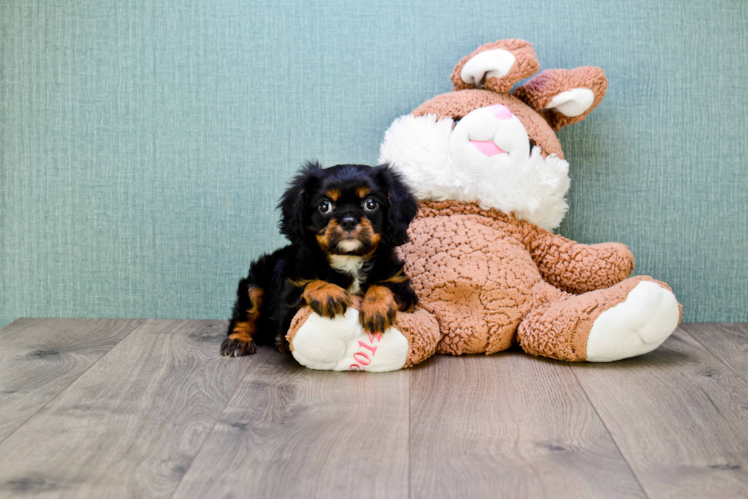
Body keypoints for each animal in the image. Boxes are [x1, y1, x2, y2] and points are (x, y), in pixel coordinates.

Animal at [222, 162, 420, 358]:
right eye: (325, 206)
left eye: (370, 204)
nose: (348, 221)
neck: (348, 258)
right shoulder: (288, 302)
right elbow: (310, 283)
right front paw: (329, 293)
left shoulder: (403, 289)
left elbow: (382, 285)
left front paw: (376, 308)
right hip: (255, 284)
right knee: (243, 317)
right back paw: (238, 341)